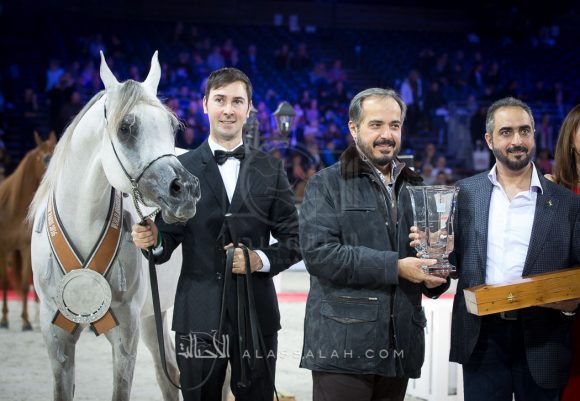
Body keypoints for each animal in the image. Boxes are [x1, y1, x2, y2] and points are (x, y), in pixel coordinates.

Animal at [0, 130, 56, 331]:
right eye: (44, 157)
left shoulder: (24, 248)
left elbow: (25, 284)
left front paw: (25, 321)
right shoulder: (4, 249)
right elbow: (5, 281)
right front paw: (4, 319)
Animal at [28, 51, 201, 401]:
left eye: (171, 126)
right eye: (126, 128)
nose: (185, 189)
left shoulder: (125, 330)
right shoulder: (55, 334)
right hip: (153, 315)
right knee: (168, 375)